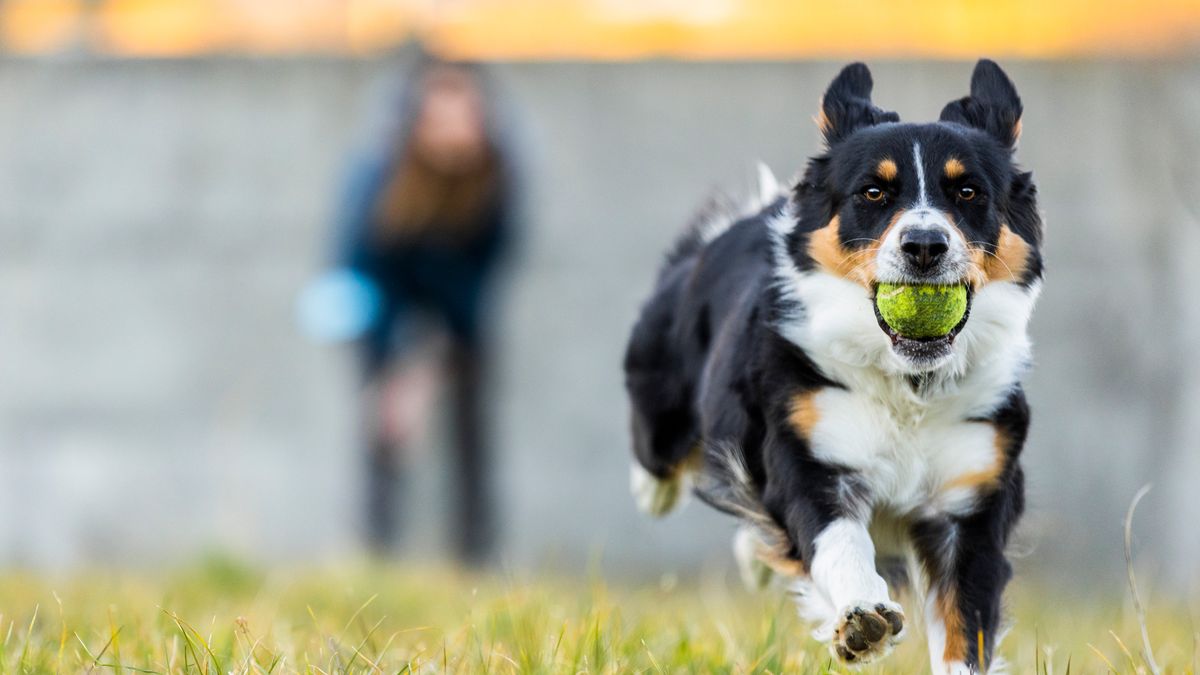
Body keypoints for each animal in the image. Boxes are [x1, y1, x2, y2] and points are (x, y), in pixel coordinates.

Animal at [628, 60, 1041, 667]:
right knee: (659, 462)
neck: (909, 387)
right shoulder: (805, 454)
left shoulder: (971, 505)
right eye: (873, 191)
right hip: (661, 412)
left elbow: (965, 632)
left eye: (968, 191)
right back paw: (657, 493)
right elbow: (836, 538)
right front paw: (862, 618)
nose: (924, 245)